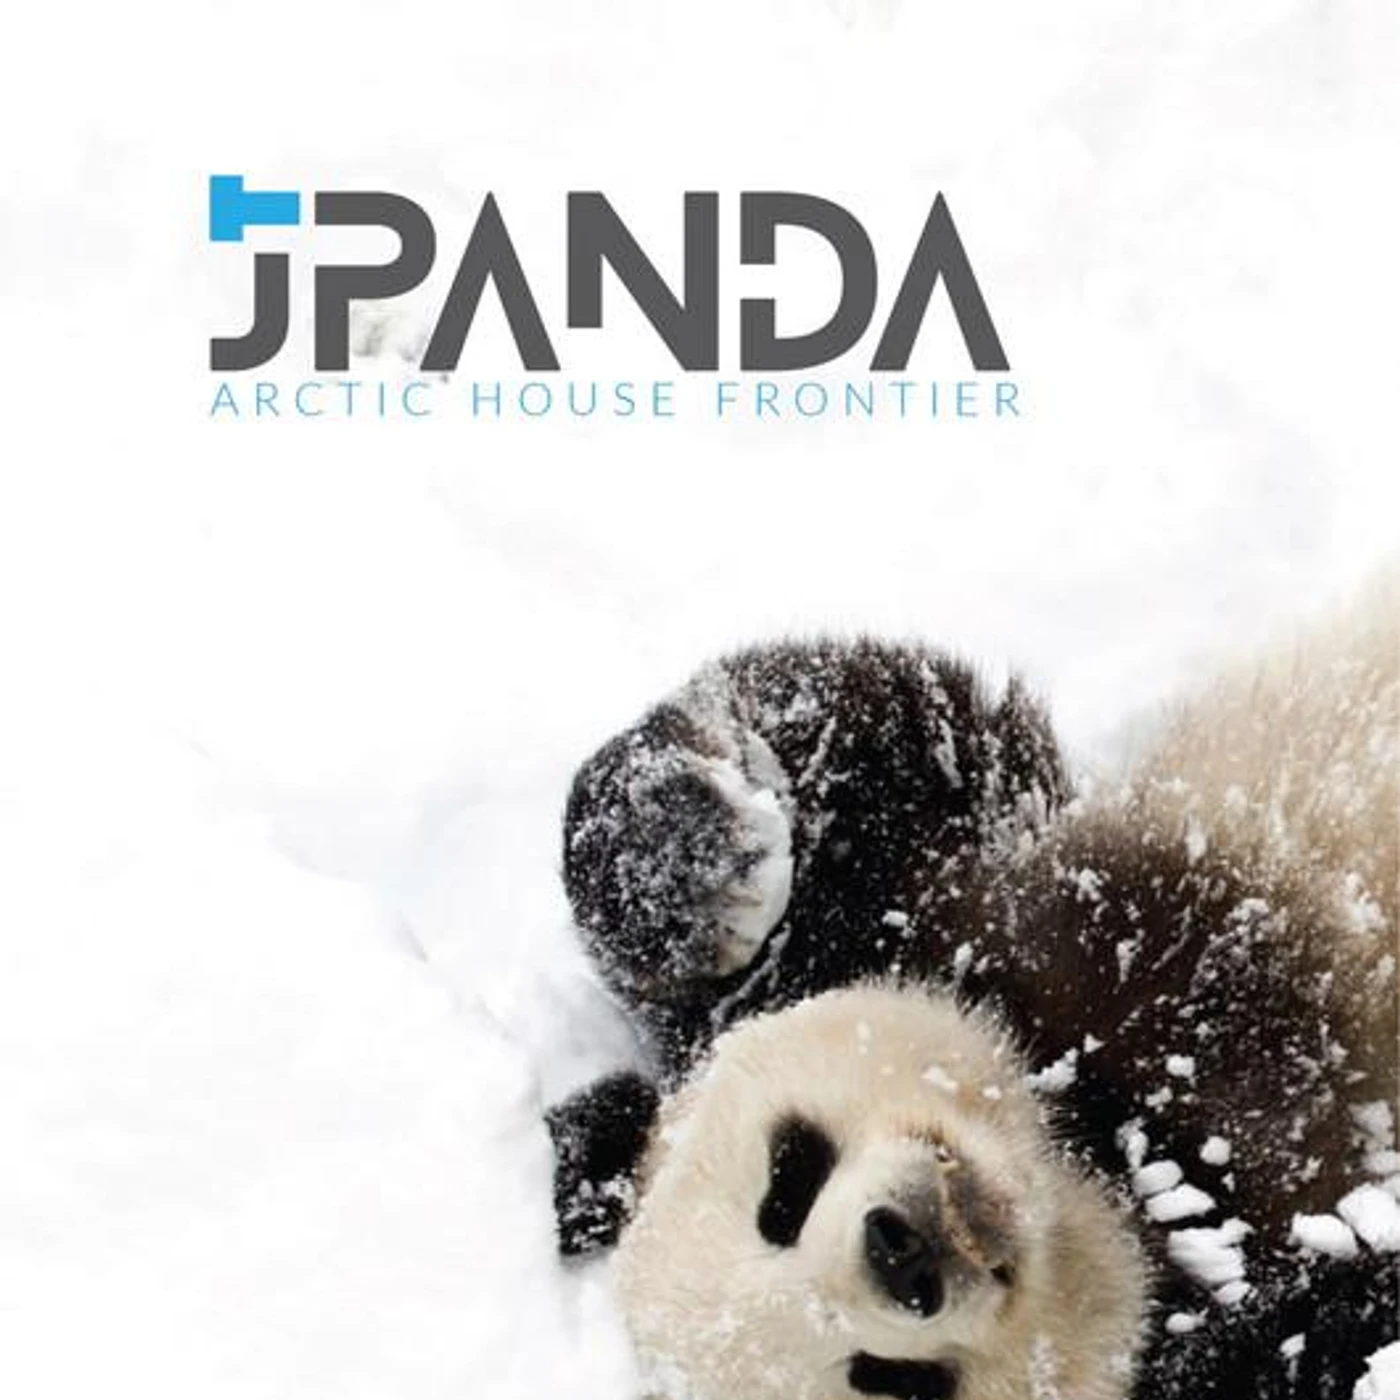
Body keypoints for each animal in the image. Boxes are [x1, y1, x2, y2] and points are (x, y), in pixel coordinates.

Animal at [546, 573, 1399, 1400]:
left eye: (785, 1189)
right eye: (888, 1377)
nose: (902, 1254)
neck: (1103, 1146)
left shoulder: (930, 889)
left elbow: (860, 716)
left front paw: (701, 872)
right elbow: (1331, 1331)